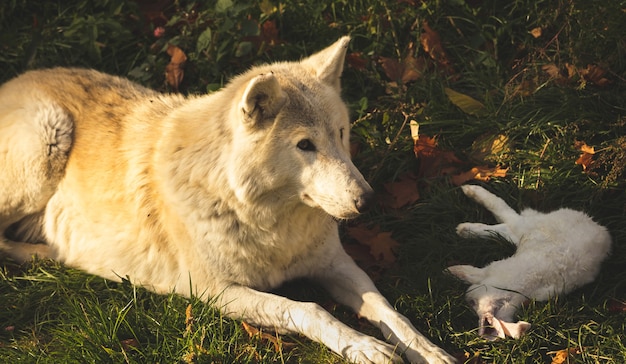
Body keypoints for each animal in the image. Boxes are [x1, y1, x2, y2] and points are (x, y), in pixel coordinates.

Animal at [0, 38, 450, 362]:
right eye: (305, 145)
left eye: (340, 134)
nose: (368, 201)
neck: (267, 220)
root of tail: (9, 83)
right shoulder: (216, 292)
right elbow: (309, 309)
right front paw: (365, 347)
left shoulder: (334, 263)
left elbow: (388, 309)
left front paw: (427, 349)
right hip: (47, 142)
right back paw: (54, 256)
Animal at [446, 186, 612, 340]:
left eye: (472, 303)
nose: (467, 296)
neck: (517, 292)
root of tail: (596, 225)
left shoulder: (492, 270)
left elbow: (474, 274)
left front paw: (452, 271)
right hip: (529, 228)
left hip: (527, 227)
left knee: (505, 219)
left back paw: (466, 217)